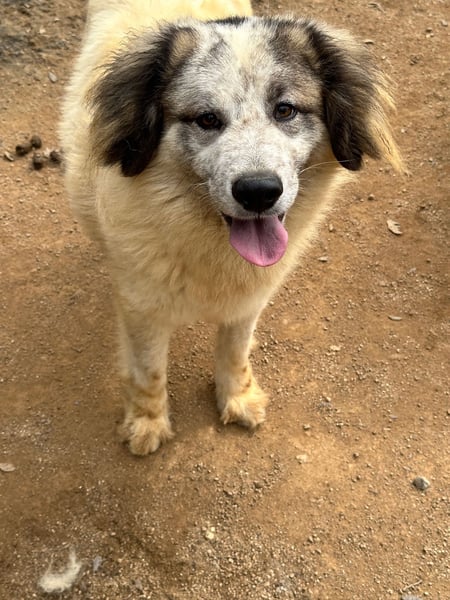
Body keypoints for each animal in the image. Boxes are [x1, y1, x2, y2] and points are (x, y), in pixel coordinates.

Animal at [60, 0, 402, 455]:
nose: (258, 192)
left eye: (285, 110)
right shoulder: (142, 308)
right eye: (206, 119)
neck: (205, 241)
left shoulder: (249, 300)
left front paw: (237, 398)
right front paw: (148, 423)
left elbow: (235, 353)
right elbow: (149, 372)